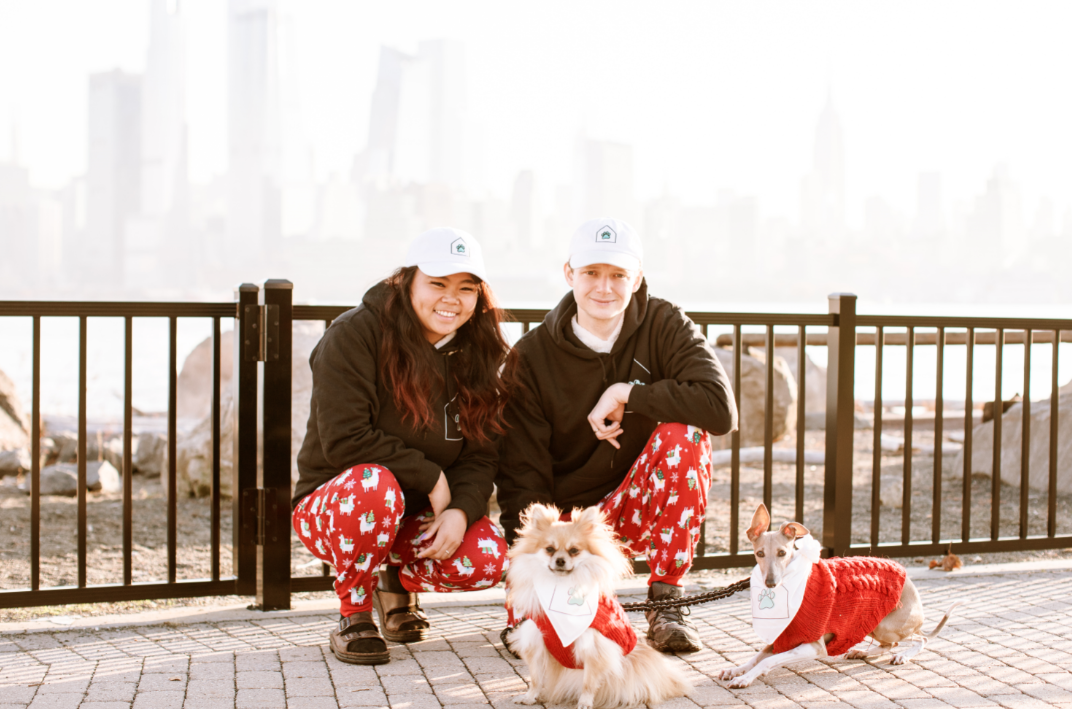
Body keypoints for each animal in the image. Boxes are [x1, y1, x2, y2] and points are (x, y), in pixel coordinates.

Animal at [505, 503, 691, 709]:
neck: (562, 587)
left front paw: (585, 702)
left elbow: (589, 681)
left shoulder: (594, 646)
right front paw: (530, 696)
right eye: (550, 549)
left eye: (574, 550)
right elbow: (536, 677)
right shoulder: (536, 640)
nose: (560, 560)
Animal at [719, 504, 958, 689]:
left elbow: (765, 662)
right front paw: (736, 670)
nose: (770, 583)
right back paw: (860, 652)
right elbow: (755, 657)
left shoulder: (814, 646)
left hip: (886, 624)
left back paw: (902, 656)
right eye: (759, 553)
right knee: (891, 644)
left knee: (919, 639)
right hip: (870, 622)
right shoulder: (780, 639)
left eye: (782, 553)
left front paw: (745, 678)